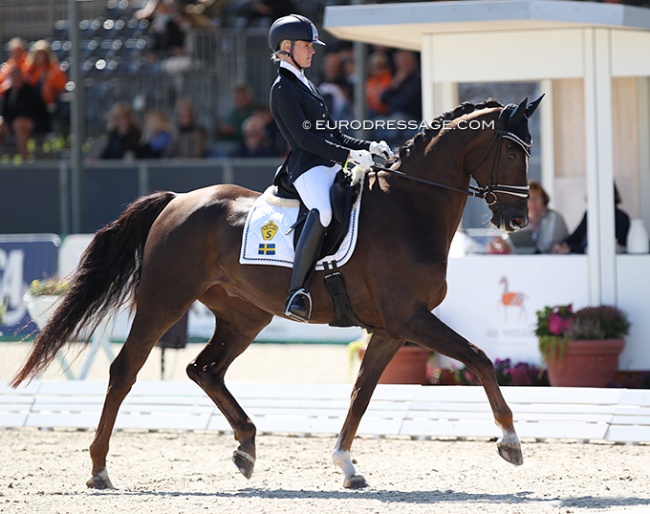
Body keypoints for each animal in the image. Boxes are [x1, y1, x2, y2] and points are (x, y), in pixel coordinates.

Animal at [11, 97, 542, 490]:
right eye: (513, 153)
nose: (518, 220)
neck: (409, 205)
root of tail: (176, 201)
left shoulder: (392, 329)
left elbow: (361, 392)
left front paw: (345, 464)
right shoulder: (409, 318)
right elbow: (479, 358)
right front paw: (510, 442)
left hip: (246, 315)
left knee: (204, 370)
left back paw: (245, 447)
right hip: (165, 300)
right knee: (126, 370)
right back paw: (100, 468)